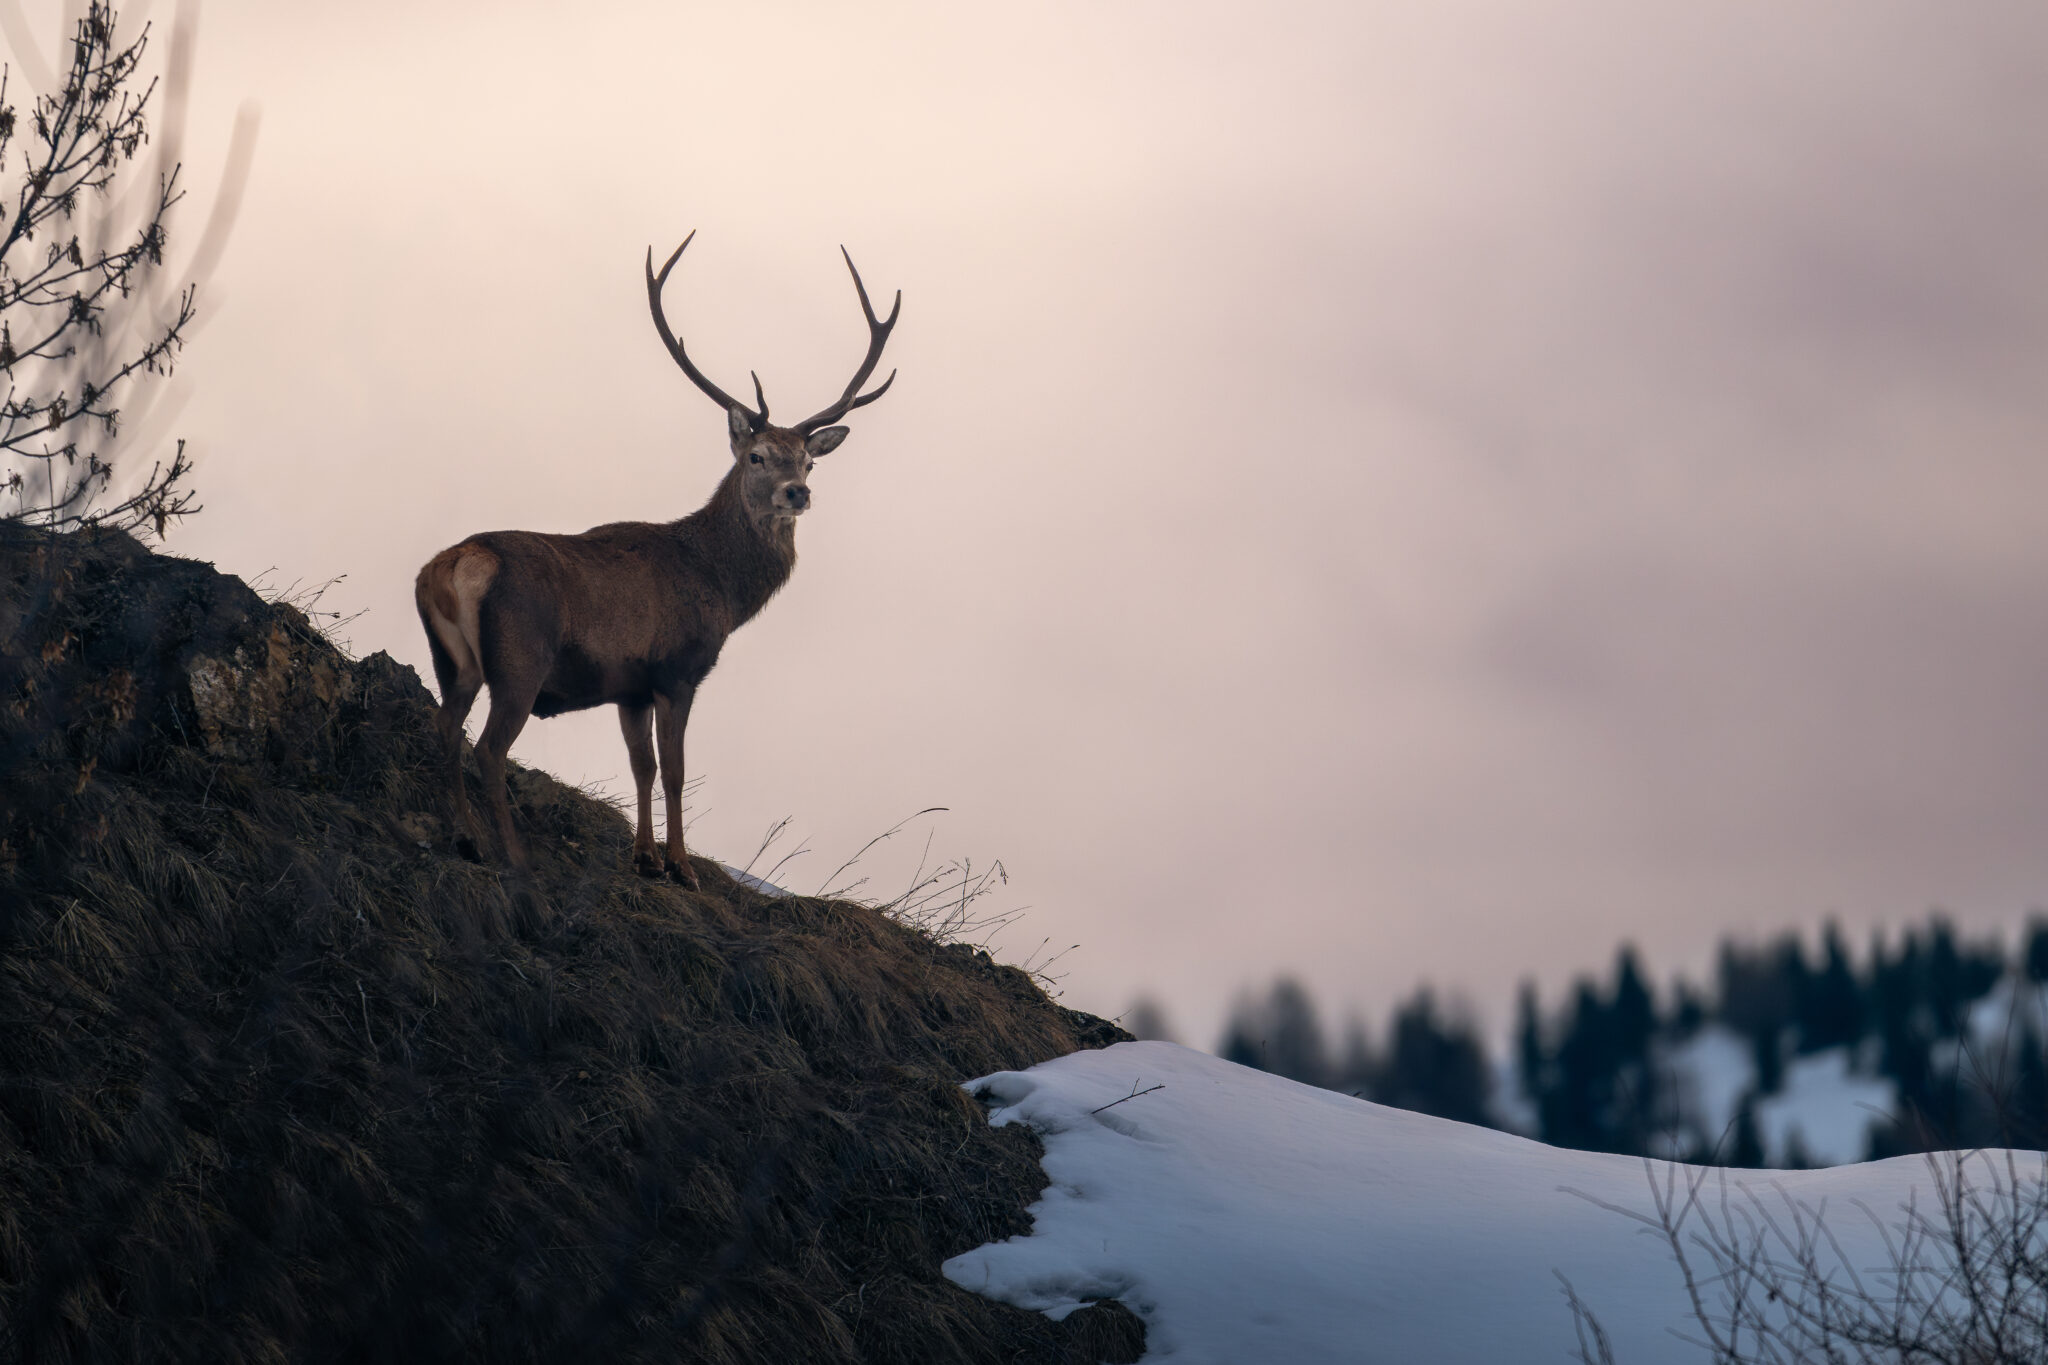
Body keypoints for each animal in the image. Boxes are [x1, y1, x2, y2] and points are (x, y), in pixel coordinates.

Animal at [413, 232, 900, 887]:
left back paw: (464, 836)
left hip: (453, 661)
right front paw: (680, 866)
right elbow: (674, 770)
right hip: (521, 657)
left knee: (446, 727)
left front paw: (643, 857)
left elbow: (640, 765)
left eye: (809, 460)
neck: (722, 589)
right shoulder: (677, 667)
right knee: (489, 747)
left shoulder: (630, 686)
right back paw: (512, 854)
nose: (797, 492)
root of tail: (456, 564)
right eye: (757, 456)